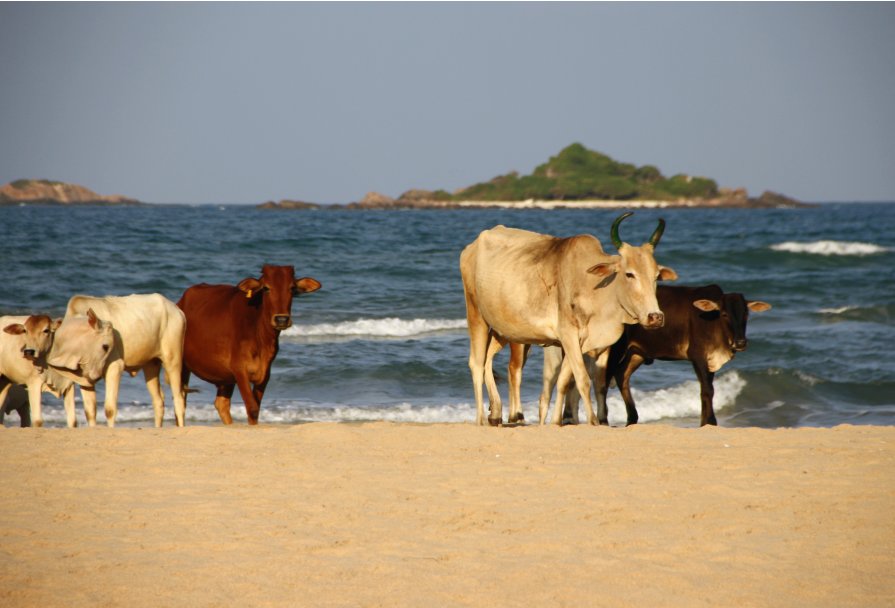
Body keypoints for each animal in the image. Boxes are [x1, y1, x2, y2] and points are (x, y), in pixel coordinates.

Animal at [65, 294, 189, 428]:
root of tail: (177, 310)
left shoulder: (115, 366)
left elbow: (109, 409)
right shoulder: (83, 378)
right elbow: (90, 411)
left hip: (173, 360)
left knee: (179, 399)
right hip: (151, 364)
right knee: (158, 401)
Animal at [177, 264, 320, 426]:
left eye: (292, 288)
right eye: (266, 288)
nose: (281, 319)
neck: (261, 336)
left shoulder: (265, 373)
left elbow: (256, 409)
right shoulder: (239, 370)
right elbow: (252, 408)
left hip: (225, 378)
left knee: (221, 404)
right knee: (181, 401)